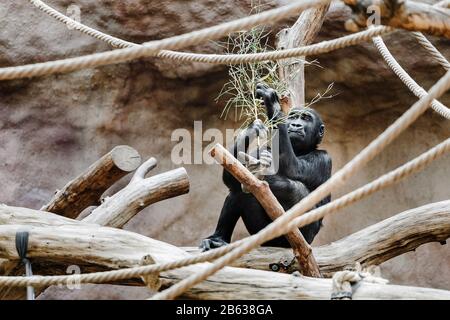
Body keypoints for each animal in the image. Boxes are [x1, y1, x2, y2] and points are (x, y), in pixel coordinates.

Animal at [200, 83, 330, 250]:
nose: (295, 124)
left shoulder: (323, 159)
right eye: (293, 117)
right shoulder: (261, 149)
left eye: (306, 118)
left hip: (304, 235)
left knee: (296, 188)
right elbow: (232, 176)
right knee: (237, 189)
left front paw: (273, 102)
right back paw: (218, 239)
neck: (300, 150)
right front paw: (252, 129)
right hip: (261, 232)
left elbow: (294, 169)